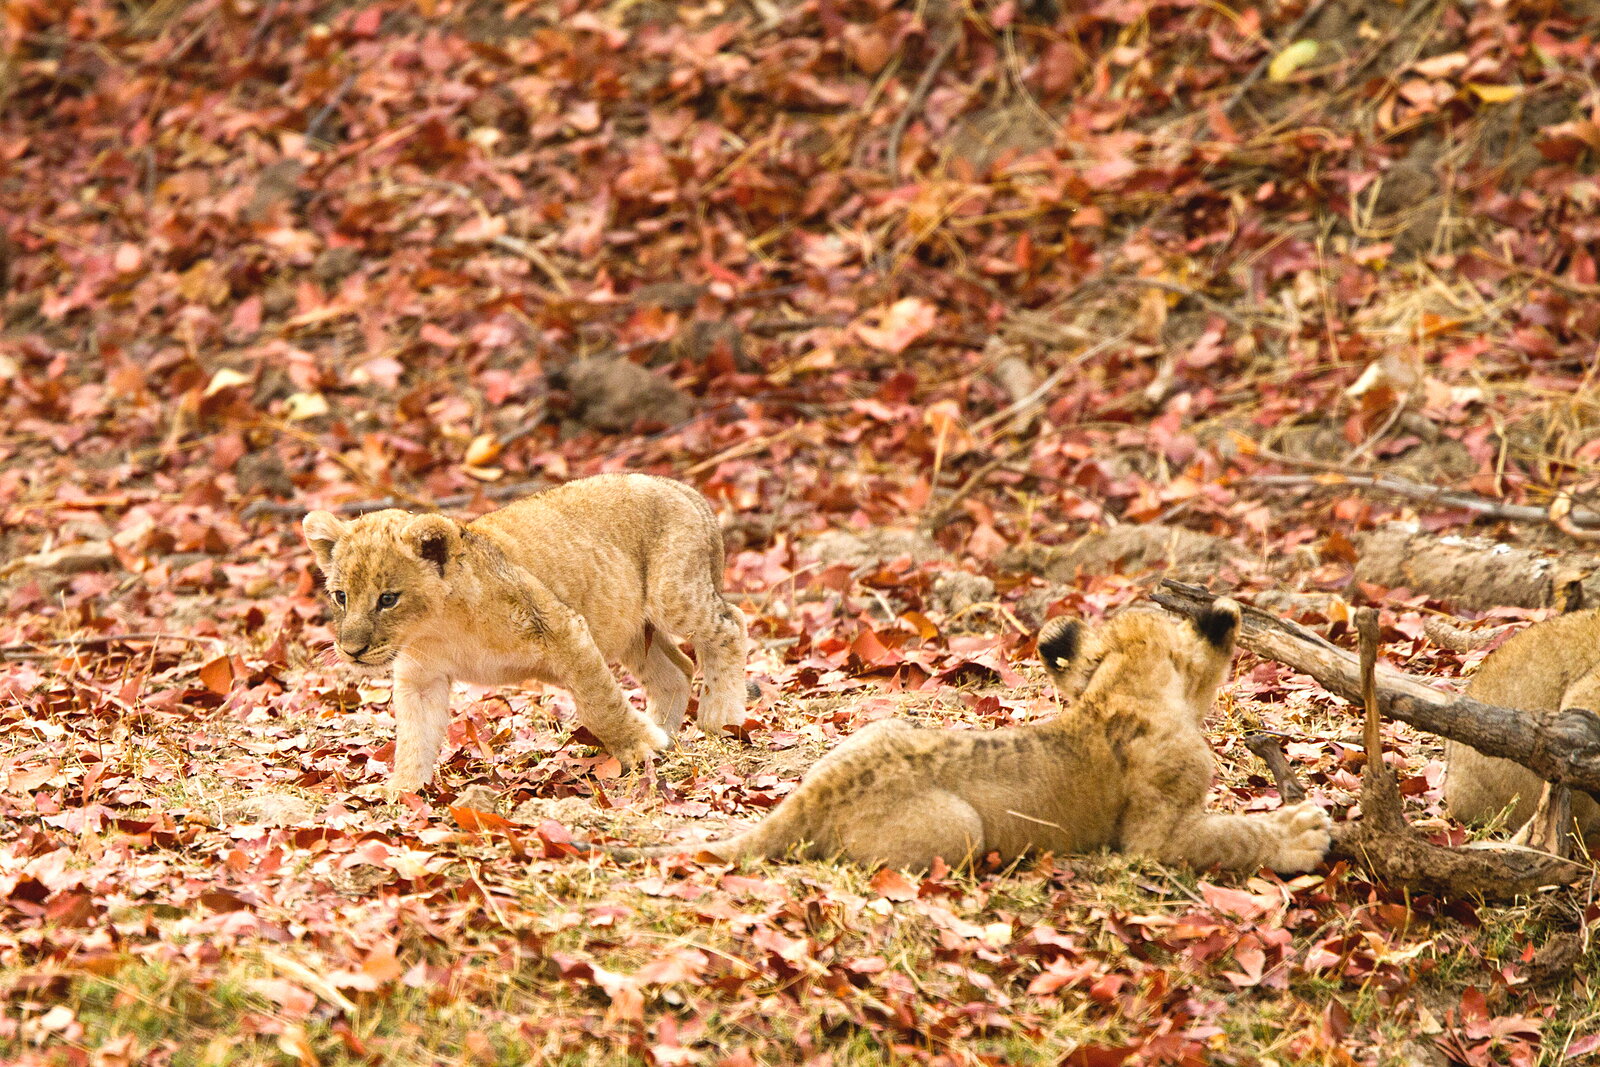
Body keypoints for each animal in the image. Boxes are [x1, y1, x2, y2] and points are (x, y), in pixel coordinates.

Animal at [301, 473, 750, 794]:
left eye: (388, 599)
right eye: (340, 596)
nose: (351, 650)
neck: (437, 627)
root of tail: (683, 488)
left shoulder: (562, 627)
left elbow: (599, 704)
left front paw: (639, 747)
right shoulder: (421, 677)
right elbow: (414, 736)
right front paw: (401, 791)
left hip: (672, 595)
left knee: (731, 624)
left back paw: (719, 719)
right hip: (630, 627)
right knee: (676, 669)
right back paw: (666, 731)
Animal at [608, 601, 1331, 873]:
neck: (1122, 688)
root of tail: (815, 793)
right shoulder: (1153, 835)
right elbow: (1224, 837)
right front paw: (1300, 833)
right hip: (960, 828)